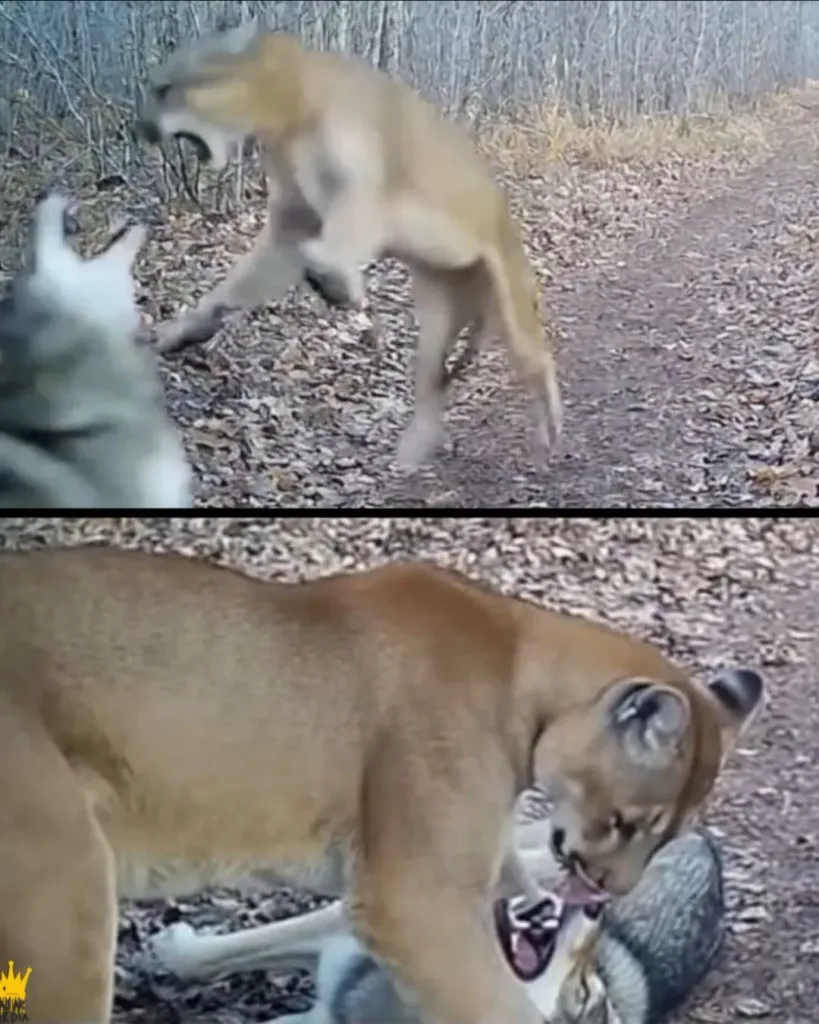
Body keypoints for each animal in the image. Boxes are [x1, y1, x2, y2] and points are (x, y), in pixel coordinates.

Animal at [135, 20, 563, 470]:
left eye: (164, 89)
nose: (139, 128)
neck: (294, 106)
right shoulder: (293, 222)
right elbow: (237, 284)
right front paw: (182, 330)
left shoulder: (362, 193)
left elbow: (342, 236)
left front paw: (336, 282)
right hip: (437, 317)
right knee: (432, 385)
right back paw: (412, 452)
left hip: (509, 308)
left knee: (539, 359)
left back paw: (548, 431)